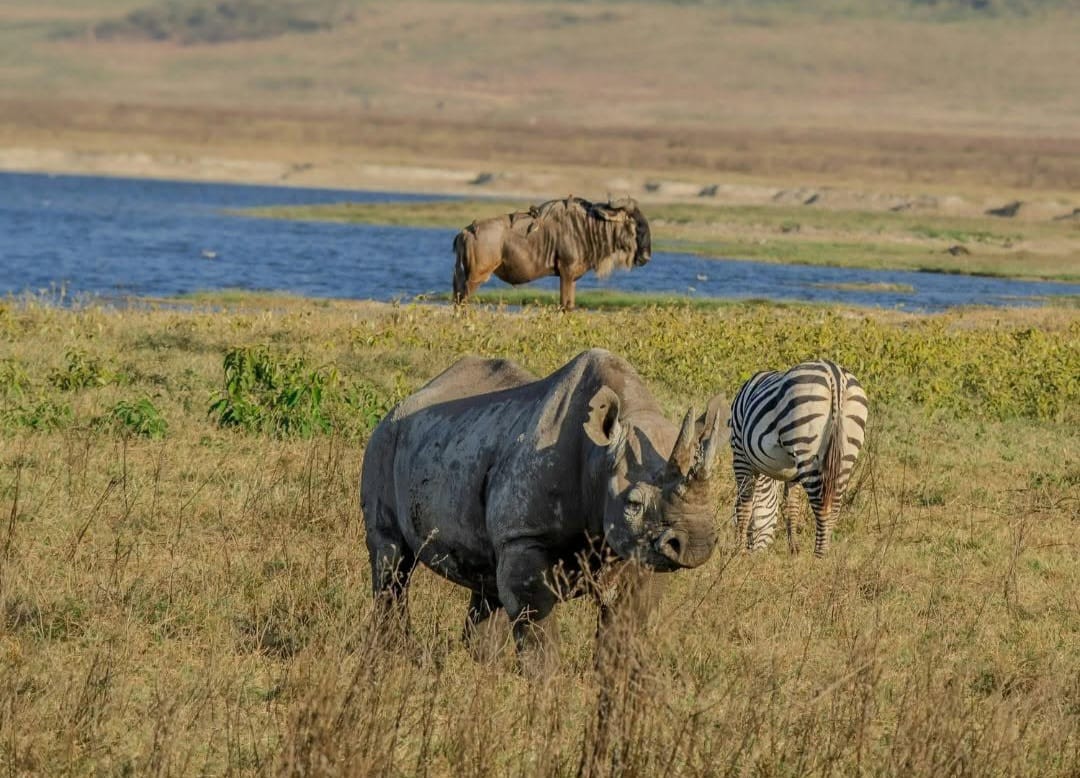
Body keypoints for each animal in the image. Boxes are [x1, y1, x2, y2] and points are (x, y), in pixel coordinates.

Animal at [360, 348, 725, 672]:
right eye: (633, 503)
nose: (696, 544)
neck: (599, 457)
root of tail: (405, 401)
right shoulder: (524, 536)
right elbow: (535, 624)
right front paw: (545, 690)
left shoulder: (638, 550)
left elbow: (623, 629)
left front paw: (616, 684)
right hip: (384, 441)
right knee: (392, 558)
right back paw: (392, 655)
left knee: (486, 578)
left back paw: (480, 667)